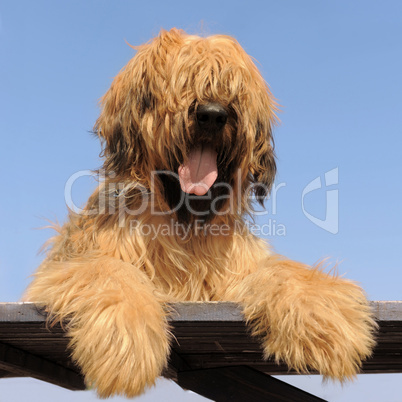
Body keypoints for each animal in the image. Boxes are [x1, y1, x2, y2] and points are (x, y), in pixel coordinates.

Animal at [25, 29, 376, 398]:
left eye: (230, 85)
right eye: (183, 80)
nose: (212, 114)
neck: (185, 223)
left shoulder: (230, 274)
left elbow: (280, 270)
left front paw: (323, 318)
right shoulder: (64, 267)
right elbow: (108, 269)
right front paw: (128, 344)